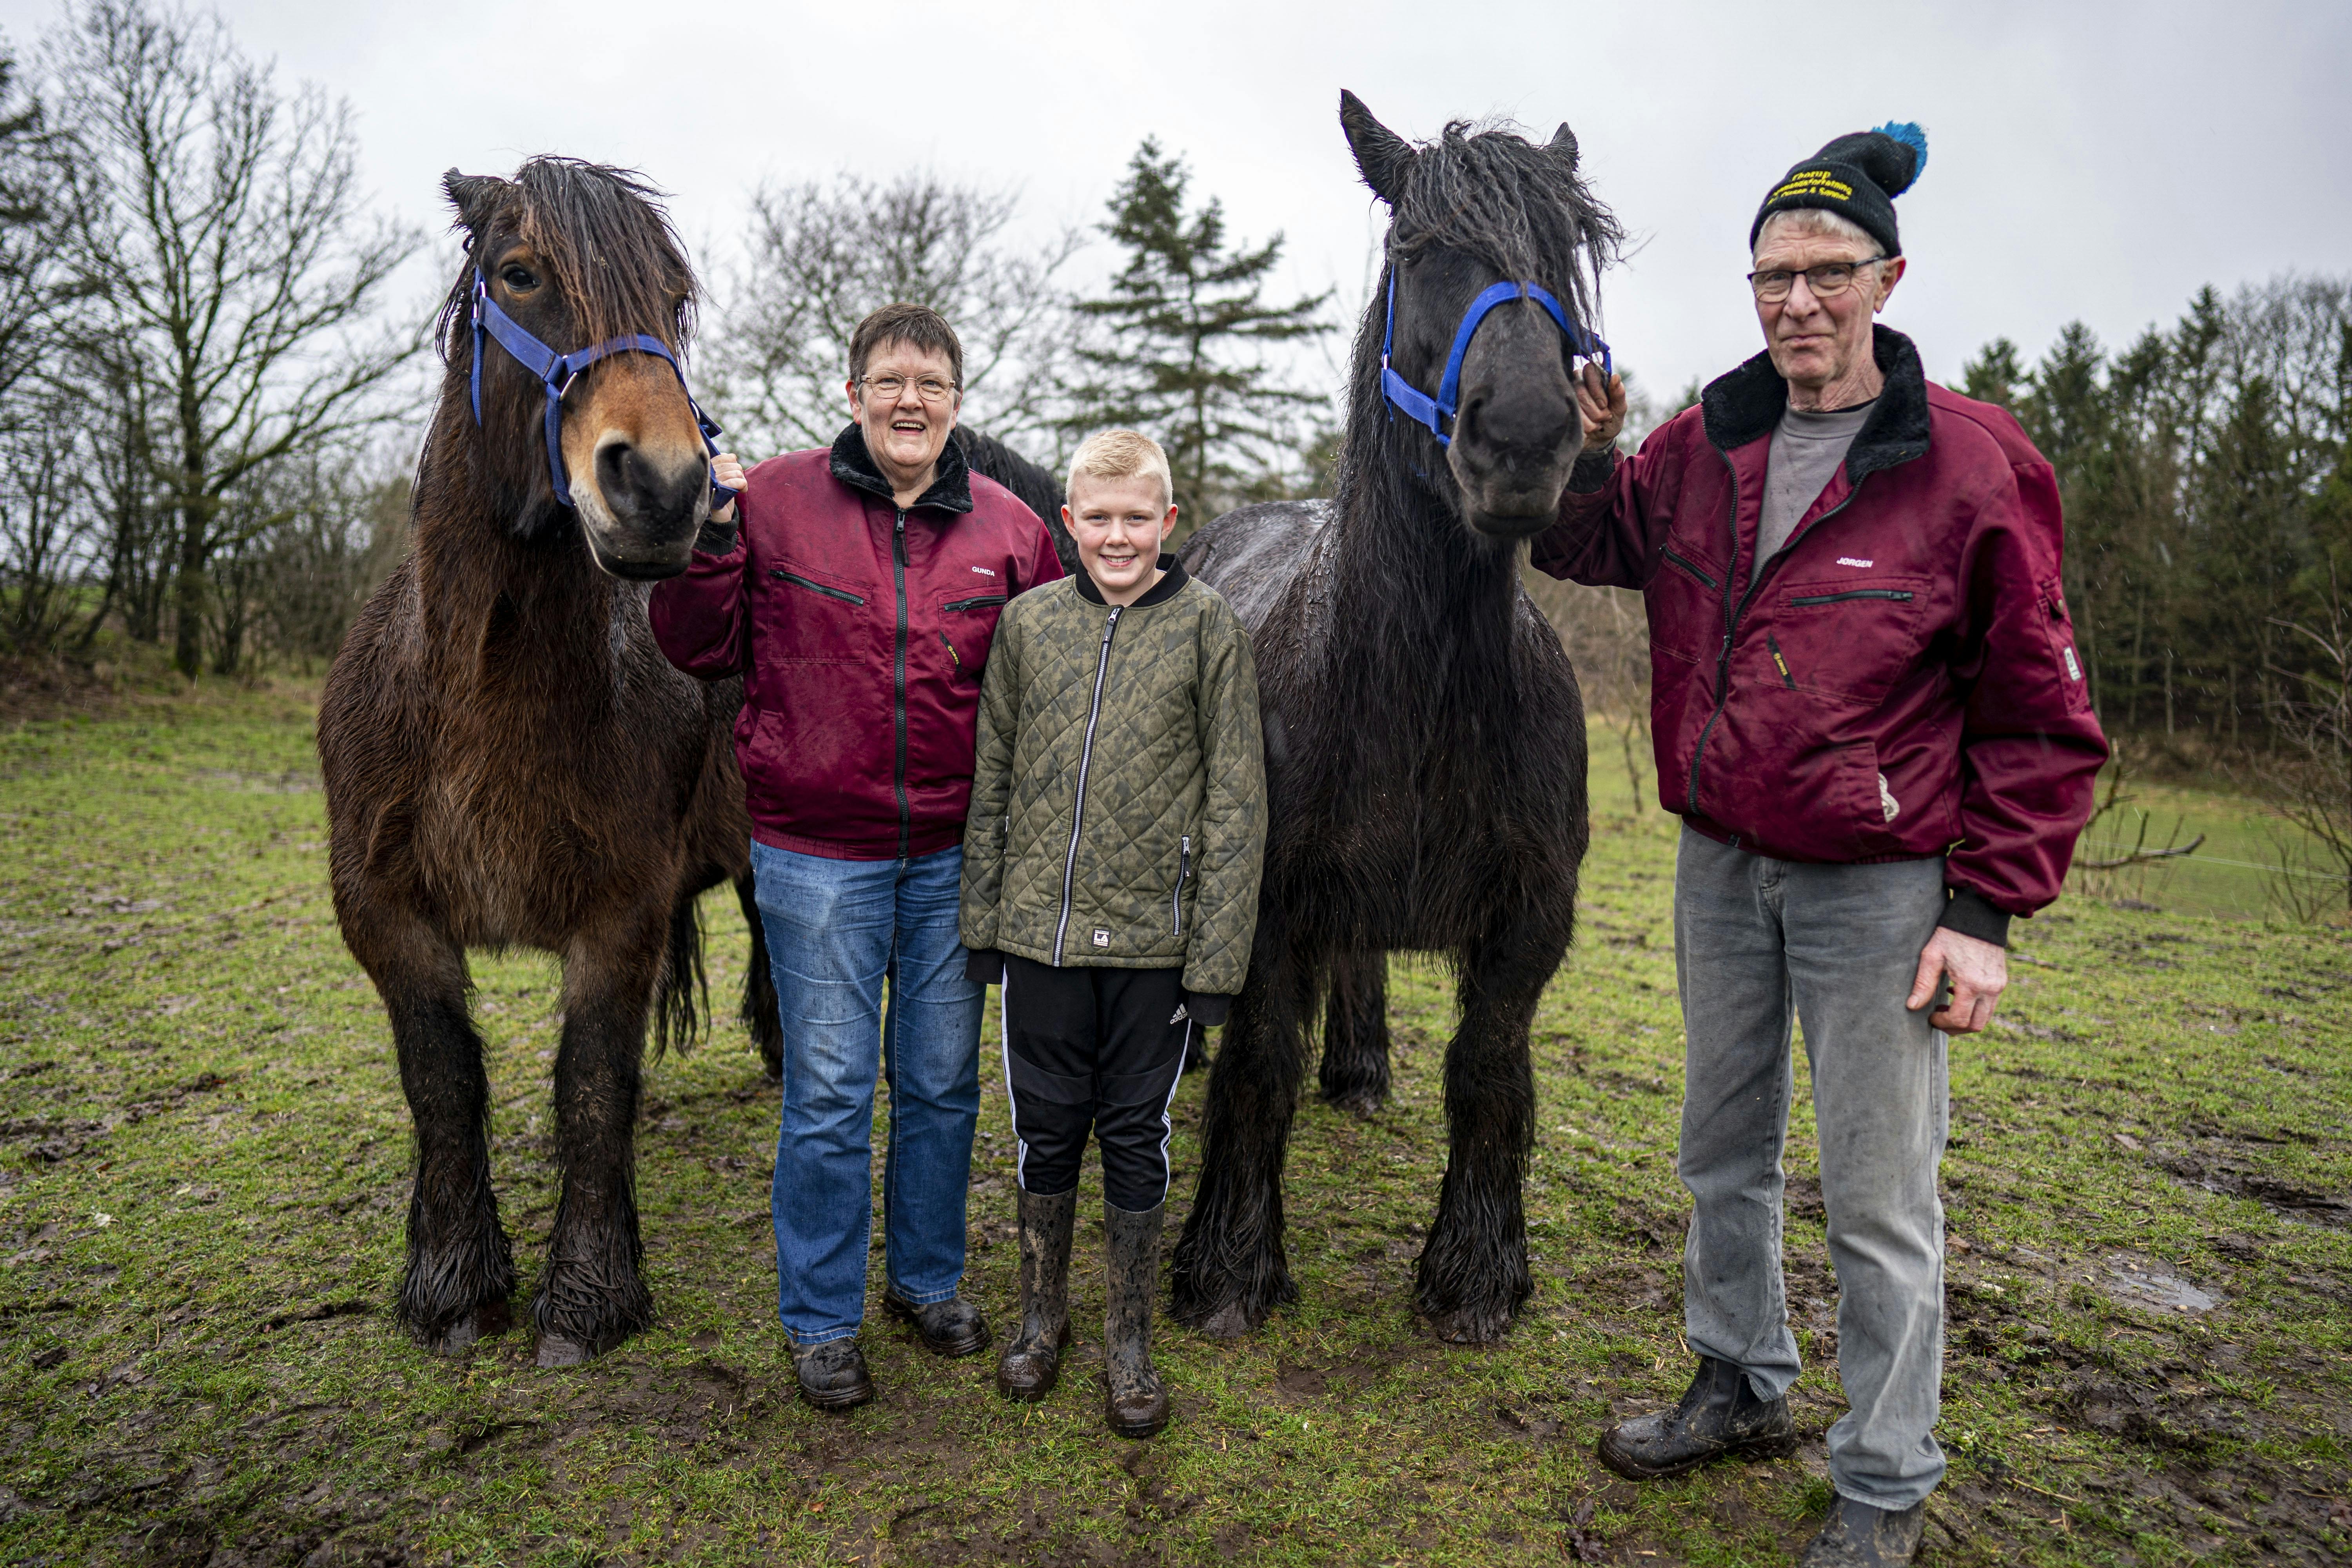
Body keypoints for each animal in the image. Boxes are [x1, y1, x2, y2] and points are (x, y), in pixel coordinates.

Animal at [318, 156, 776, 1363]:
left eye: (673, 299)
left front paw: (588, 1294)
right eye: (522, 275)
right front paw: (451, 1284)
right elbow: (440, 1080)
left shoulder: (621, 916)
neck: (482, 694)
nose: (665, 488)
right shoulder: (384, 914)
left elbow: (592, 1086)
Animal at [1171, 95, 1618, 1354]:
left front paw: (1476, 1273)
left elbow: (1489, 1069)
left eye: (1570, 253)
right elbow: (1260, 1062)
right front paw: (1230, 1267)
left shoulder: (1530, 918)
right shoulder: (1266, 901)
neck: (1428, 688)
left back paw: (1362, 1068)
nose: (1524, 439)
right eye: (1417, 252)